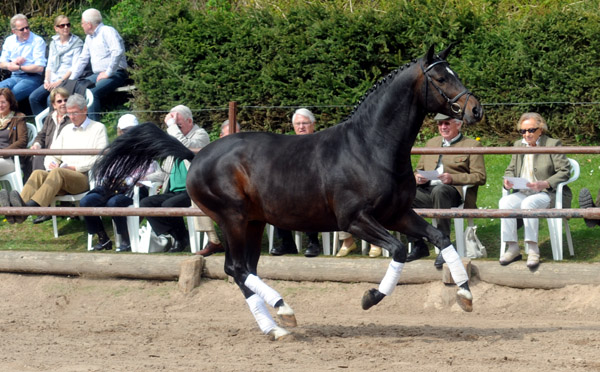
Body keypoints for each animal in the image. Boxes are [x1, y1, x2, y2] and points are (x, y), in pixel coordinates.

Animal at [94, 44, 482, 340]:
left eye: (454, 72)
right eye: (441, 77)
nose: (475, 109)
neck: (371, 147)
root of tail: (197, 155)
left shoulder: (398, 214)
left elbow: (439, 239)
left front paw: (465, 295)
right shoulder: (355, 220)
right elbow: (400, 250)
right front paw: (371, 297)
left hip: (252, 223)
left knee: (242, 270)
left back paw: (276, 327)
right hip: (232, 219)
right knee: (236, 268)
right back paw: (284, 311)